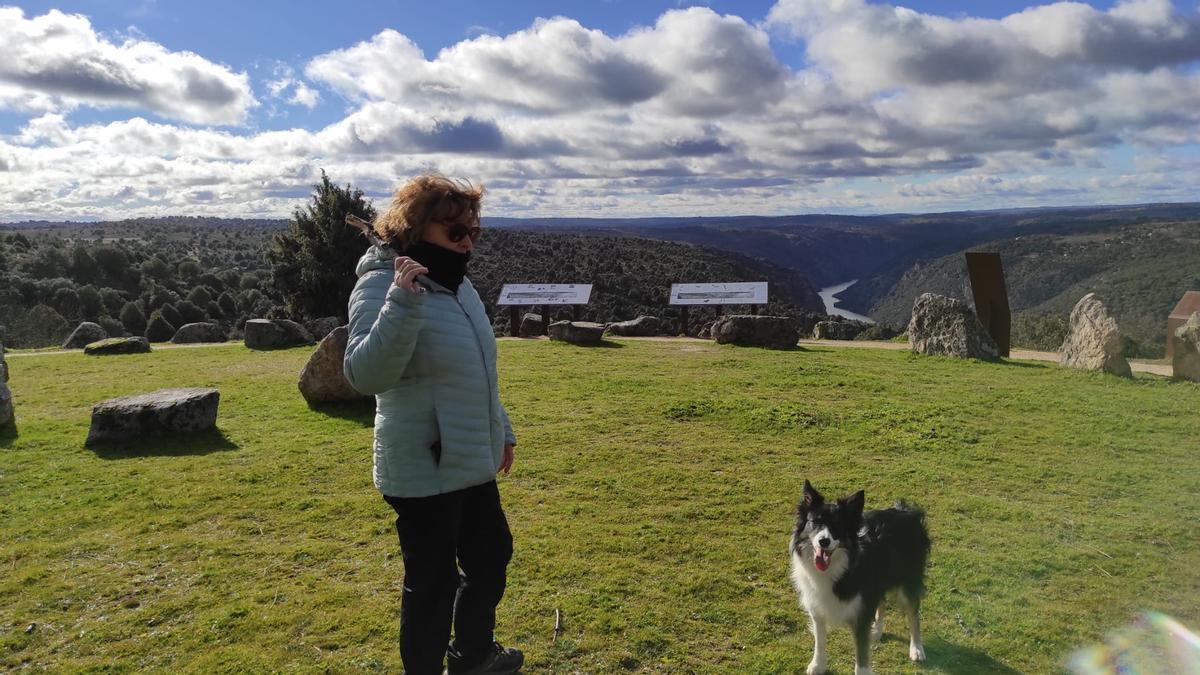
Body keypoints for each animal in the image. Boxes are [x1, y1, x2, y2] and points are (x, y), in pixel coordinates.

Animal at [792, 478, 931, 672]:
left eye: (839, 525)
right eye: (815, 522)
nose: (824, 541)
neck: (837, 568)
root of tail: (907, 510)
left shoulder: (861, 615)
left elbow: (861, 659)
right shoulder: (818, 607)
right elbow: (820, 640)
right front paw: (818, 665)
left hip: (908, 579)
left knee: (913, 613)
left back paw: (917, 648)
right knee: (882, 602)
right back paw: (877, 632)